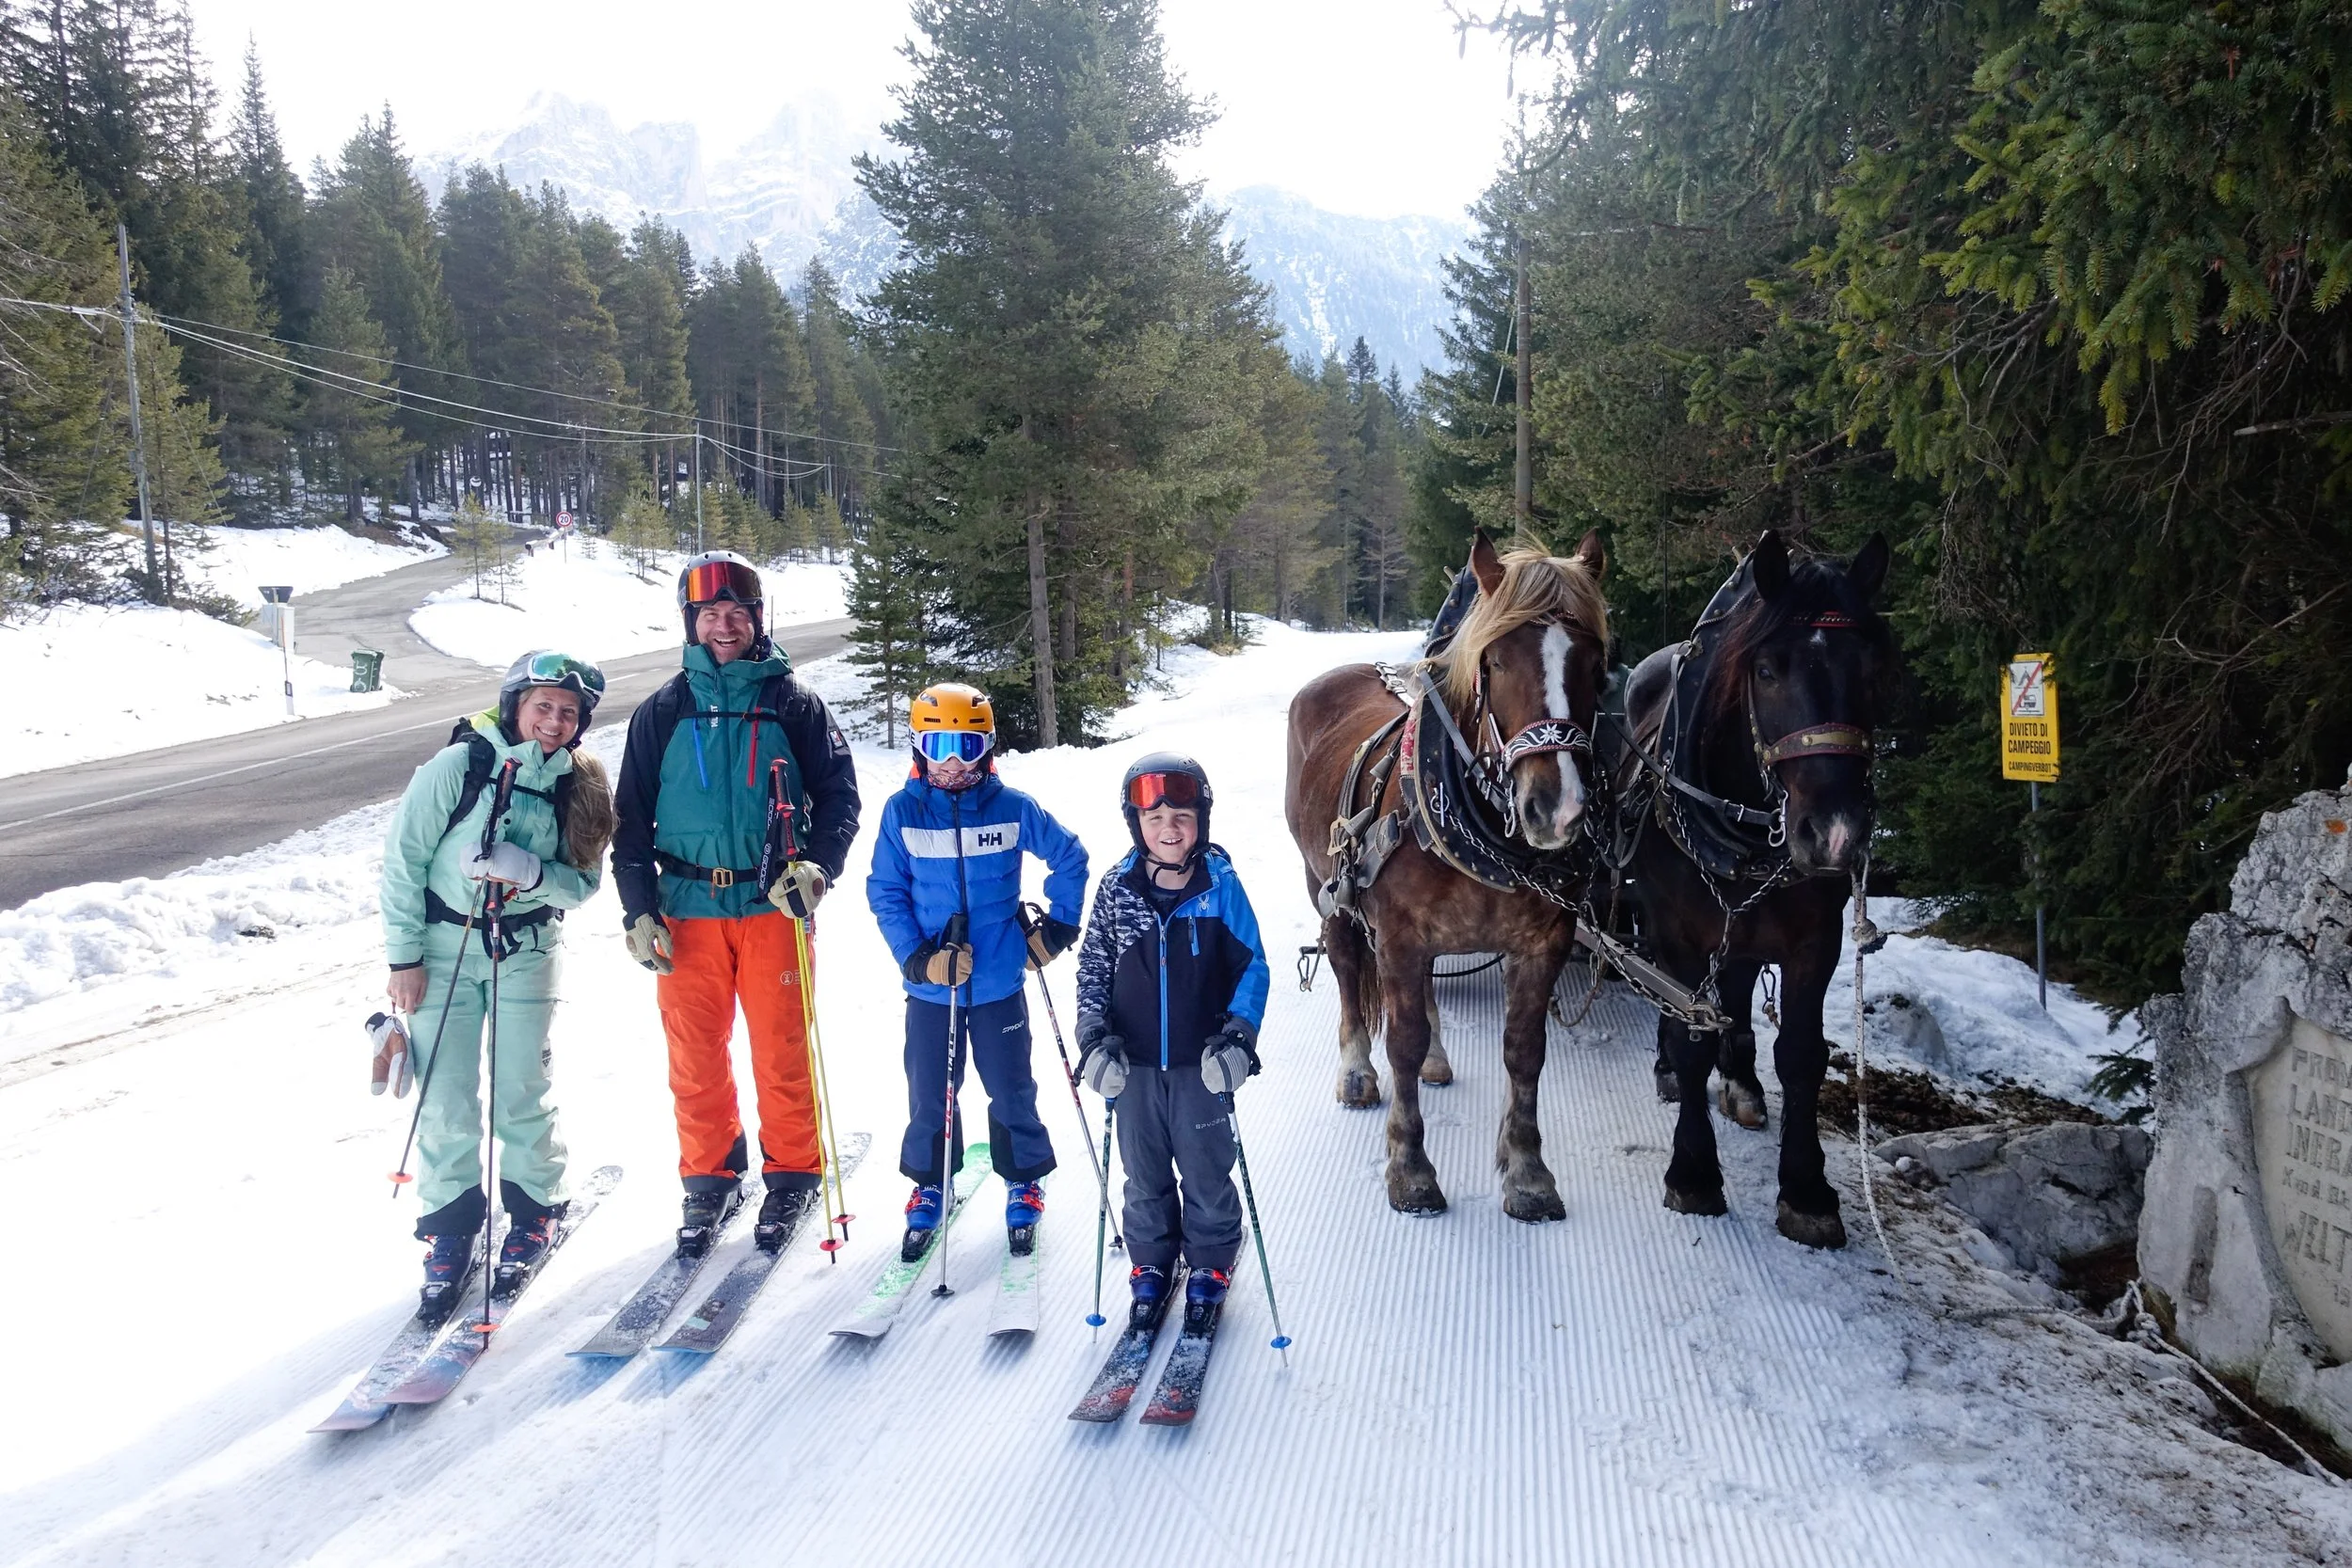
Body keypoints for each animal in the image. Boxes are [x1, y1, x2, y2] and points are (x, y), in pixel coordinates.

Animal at [1284, 530, 1611, 1220]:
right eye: (1496, 661)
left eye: (1597, 664)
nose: (1557, 807)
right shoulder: (1399, 935)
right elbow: (1400, 1042)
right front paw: (1410, 1168)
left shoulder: (1543, 943)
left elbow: (1525, 1050)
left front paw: (1527, 1172)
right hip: (1324, 884)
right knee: (1347, 965)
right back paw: (1356, 1070)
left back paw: (1438, 1054)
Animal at [1601, 529, 1896, 1247]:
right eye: (1767, 670)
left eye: (1871, 667)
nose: (1837, 834)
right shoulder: (1678, 931)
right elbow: (1691, 1038)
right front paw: (1693, 1171)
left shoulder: (1816, 940)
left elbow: (1803, 1054)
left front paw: (1808, 1189)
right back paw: (1675, 1070)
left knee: (1732, 989)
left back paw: (1740, 1080)